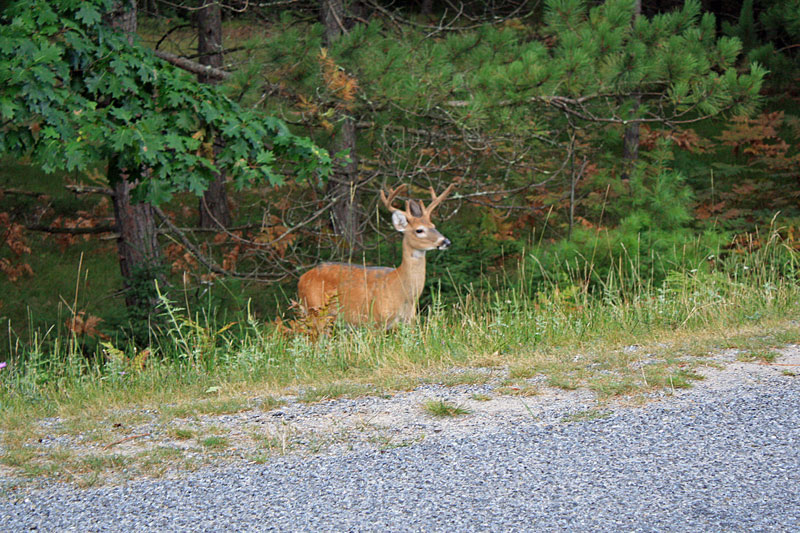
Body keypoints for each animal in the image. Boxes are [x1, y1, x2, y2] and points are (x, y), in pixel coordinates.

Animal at [296, 181, 456, 326]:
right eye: (419, 230)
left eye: (433, 226)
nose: (446, 242)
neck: (403, 293)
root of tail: (302, 279)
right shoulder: (375, 320)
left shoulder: (408, 322)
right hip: (315, 310)